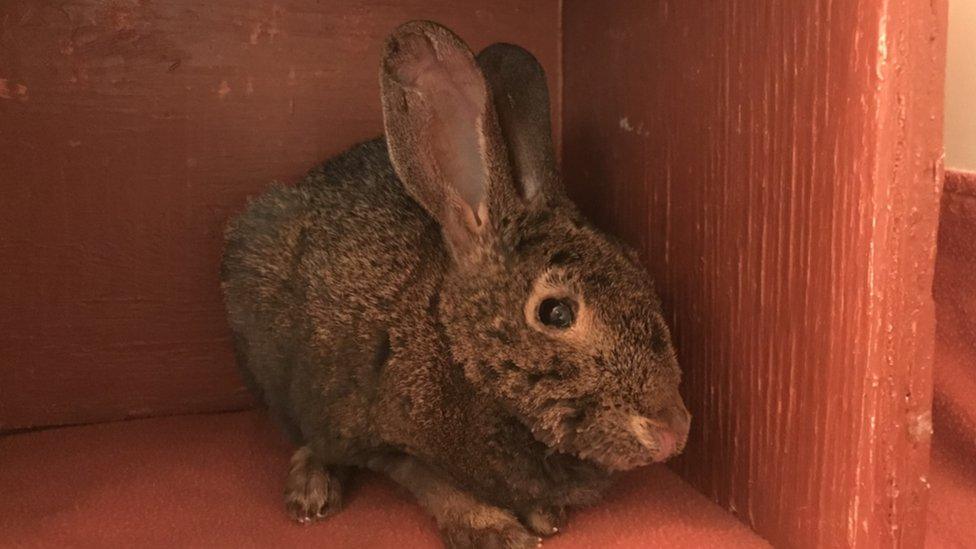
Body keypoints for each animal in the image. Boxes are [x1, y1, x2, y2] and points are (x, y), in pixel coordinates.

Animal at [221, 19, 692, 544]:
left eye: (636, 265)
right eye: (556, 312)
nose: (674, 432)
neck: (452, 344)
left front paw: (543, 514)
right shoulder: (386, 435)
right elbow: (430, 481)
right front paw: (497, 532)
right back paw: (310, 489)